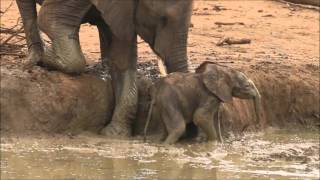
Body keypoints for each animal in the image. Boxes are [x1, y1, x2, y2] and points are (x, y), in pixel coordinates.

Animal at [18, 0, 194, 137]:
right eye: (163, 19)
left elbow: (122, 55)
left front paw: (115, 134)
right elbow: (49, 20)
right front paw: (45, 58)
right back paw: (35, 57)